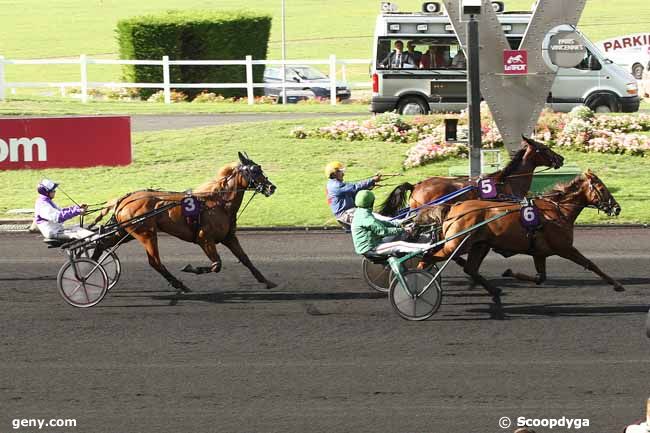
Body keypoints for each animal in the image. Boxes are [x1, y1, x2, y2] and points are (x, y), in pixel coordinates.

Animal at [90, 151, 274, 290]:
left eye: (259, 168)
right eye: (254, 170)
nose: (272, 187)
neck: (218, 203)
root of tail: (123, 200)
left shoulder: (228, 237)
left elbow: (245, 258)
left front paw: (267, 281)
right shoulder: (204, 238)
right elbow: (217, 265)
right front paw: (191, 268)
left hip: (125, 232)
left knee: (102, 243)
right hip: (146, 234)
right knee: (155, 262)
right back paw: (179, 284)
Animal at [422, 170, 620, 316]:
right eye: (602, 188)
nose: (617, 208)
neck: (557, 211)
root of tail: (453, 207)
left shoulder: (540, 253)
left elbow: (540, 278)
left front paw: (509, 272)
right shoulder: (564, 248)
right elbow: (590, 264)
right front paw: (617, 285)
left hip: (480, 245)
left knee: (470, 269)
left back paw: (495, 290)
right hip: (456, 245)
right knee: (428, 258)